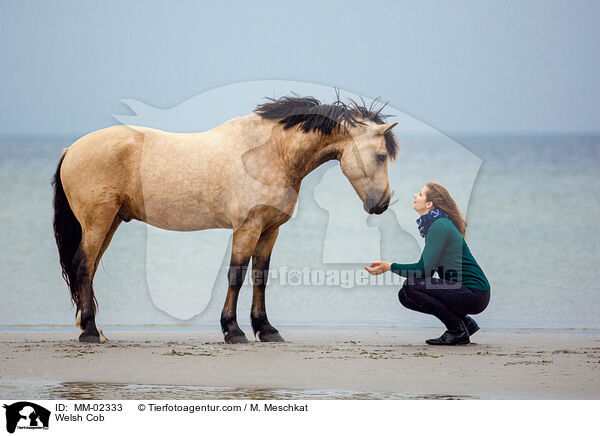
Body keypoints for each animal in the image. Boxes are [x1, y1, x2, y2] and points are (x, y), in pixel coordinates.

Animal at [51, 95, 398, 344]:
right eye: (381, 155)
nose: (382, 204)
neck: (269, 153)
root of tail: (71, 149)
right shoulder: (248, 227)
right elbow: (237, 274)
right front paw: (233, 330)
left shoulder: (270, 229)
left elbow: (260, 276)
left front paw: (266, 329)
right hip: (98, 220)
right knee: (83, 265)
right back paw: (90, 333)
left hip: (109, 222)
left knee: (90, 268)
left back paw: (93, 328)